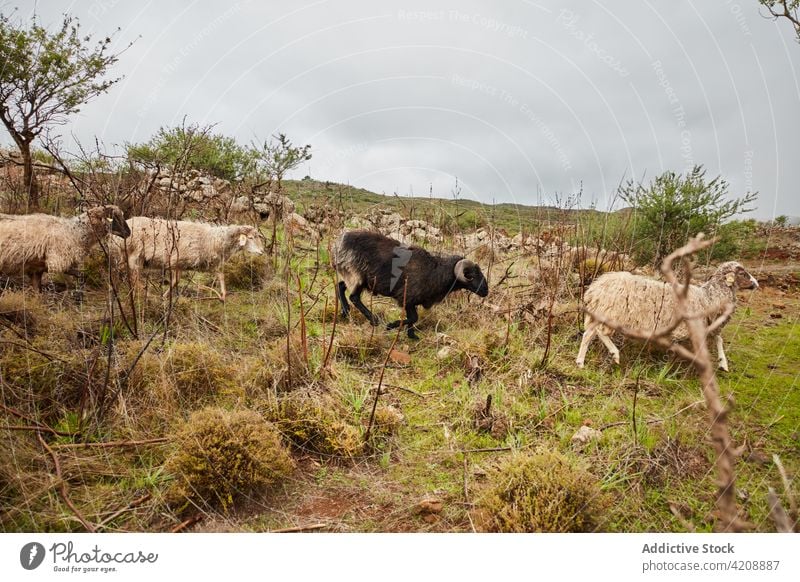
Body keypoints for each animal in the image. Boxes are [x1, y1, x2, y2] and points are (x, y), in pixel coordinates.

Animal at [0, 208, 130, 294]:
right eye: (114, 218)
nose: (128, 233)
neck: (74, 232)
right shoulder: (56, 262)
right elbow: (81, 274)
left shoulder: (36, 268)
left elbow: (37, 289)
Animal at [113, 218, 266, 302]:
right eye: (251, 238)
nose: (262, 252)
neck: (214, 239)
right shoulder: (176, 260)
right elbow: (176, 281)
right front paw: (164, 296)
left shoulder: (208, 264)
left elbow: (221, 275)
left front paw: (222, 295)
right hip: (134, 254)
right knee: (133, 276)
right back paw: (139, 294)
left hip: (127, 256)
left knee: (121, 269)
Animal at [332, 230, 488, 340]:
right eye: (472, 275)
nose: (486, 291)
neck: (435, 272)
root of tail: (339, 243)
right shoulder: (407, 297)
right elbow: (413, 318)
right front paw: (391, 326)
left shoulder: (411, 302)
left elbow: (413, 318)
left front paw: (412, 336)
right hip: (358, 276)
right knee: (354, 297)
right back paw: (374, 320)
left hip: (353, 276)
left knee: (340, 286)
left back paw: (345, 311)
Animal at [576, 262, 756, 372]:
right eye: (743, 273)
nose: (756, 283)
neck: (709, 297)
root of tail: (596, 287)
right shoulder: (687, 329)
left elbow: (719, 339)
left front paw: (723, 363)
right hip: (612, 314)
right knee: (600, 332)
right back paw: (615, 354)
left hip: (600, 313)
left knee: (588, 334)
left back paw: (580, 362)